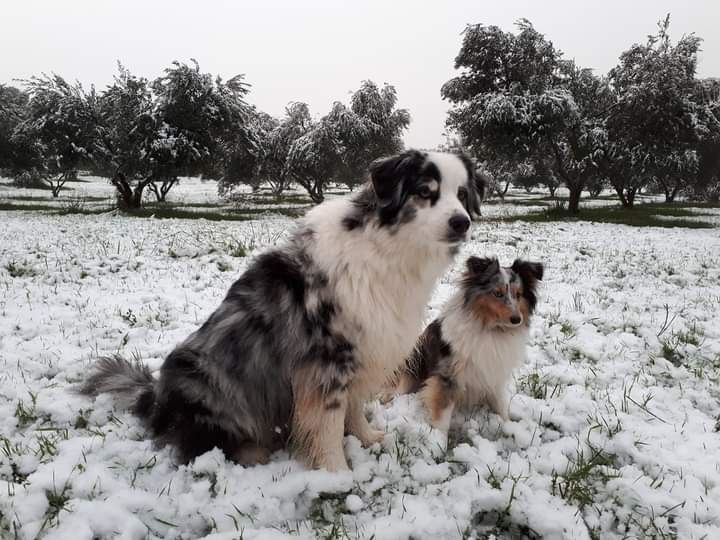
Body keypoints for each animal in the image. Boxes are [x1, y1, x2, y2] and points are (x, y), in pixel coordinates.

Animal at [394, 255, 540, 436]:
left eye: (518, 294)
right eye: (497, 293)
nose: (516, 319)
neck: (490, 328)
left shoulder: (494, 373)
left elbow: (501, 405)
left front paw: (510, 426)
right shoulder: (447, 377)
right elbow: (443, 417)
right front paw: (439, 440)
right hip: (413, 362)